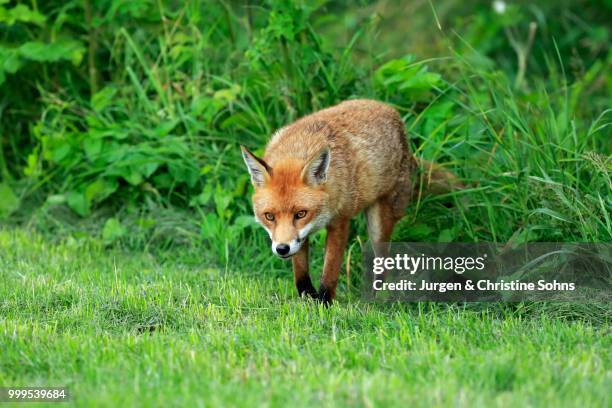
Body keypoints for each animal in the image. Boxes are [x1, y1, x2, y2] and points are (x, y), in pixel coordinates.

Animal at [240, 99, 460, 302]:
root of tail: (391, 111)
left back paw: (372, 300)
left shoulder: (340, 221)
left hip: (380, 222)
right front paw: (307, 297)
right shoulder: (300, 238)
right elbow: (300, 271)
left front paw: (324, 303)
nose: (282, 249)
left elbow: (330, 269)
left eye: (300, 214)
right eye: (269, 216)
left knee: (383, 263)